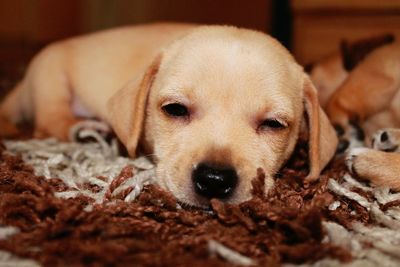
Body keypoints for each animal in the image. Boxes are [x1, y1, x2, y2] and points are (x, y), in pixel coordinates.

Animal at [0, 22, 338, 207]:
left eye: (273, 124)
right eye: (175, 109)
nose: (214, 180)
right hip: (50, 76)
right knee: (50, 123)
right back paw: (88, 130)